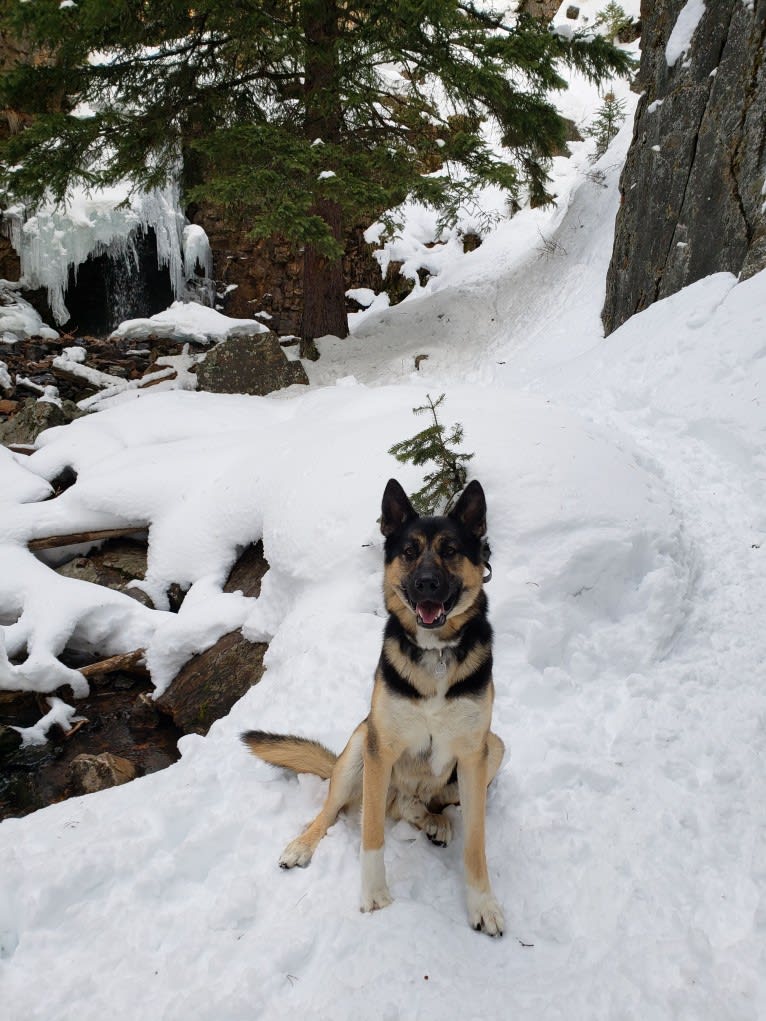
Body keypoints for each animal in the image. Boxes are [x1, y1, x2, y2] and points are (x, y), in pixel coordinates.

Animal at [240, 477, 504, 935]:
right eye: (409, 551)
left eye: (451, 550)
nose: (427, 584)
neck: (435, 653)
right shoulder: (381, 750)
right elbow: (372, 835)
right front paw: (374, 895)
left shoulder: (474, 753)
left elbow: (476, 843)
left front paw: (482, 904)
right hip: (360, 746)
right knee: (335, 811)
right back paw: (302, 845)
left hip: (497, 747)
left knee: (429, 806)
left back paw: (434, 820)